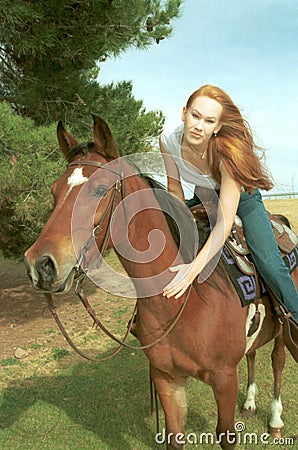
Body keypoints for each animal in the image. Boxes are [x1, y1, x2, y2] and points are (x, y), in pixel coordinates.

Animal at [24, 117, 296, 450]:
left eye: (99, 189)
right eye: (54, 190)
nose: (40, 265)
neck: (183, 300)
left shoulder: (224, 379)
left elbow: (226, 435)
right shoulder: (167, 379)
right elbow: (174, 437)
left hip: (283, 329)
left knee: (278, 361)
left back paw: (275, 420)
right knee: (253, 353)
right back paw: (251, 401)